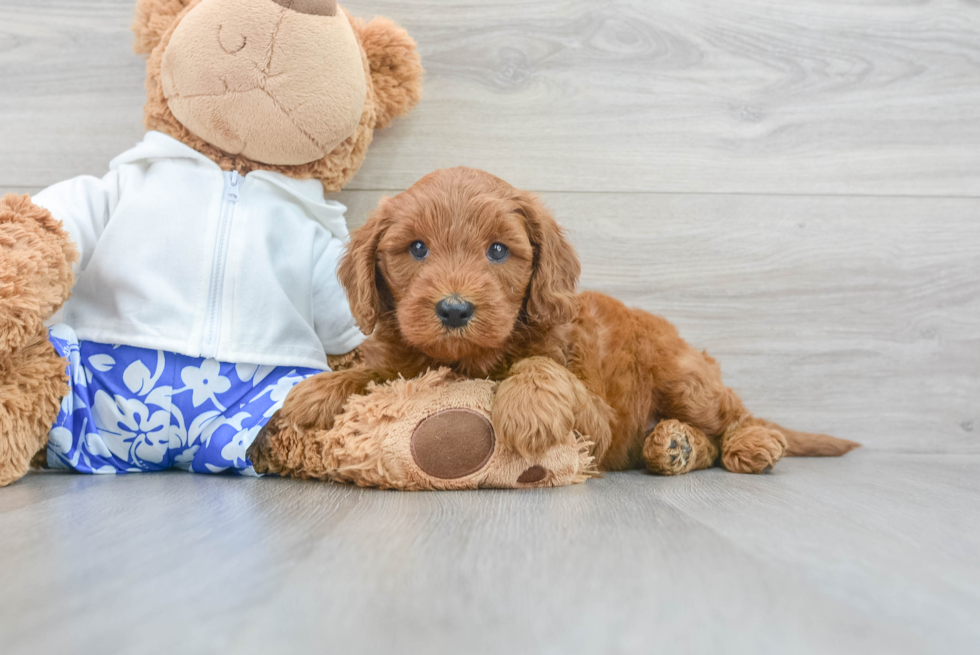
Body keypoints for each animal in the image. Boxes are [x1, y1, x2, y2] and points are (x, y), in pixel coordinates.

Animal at [251, 169, 856, 476]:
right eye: (417, 248)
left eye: (498, 250)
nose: (454, 309)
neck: (471, 359)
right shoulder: (403, 356)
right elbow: (378, 371)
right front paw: (321, 390)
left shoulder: (598, 421)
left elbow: (545, 368)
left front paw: (528, 407)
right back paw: (674, 448)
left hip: (685, 378)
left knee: (737, 415)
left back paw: (751, 443)